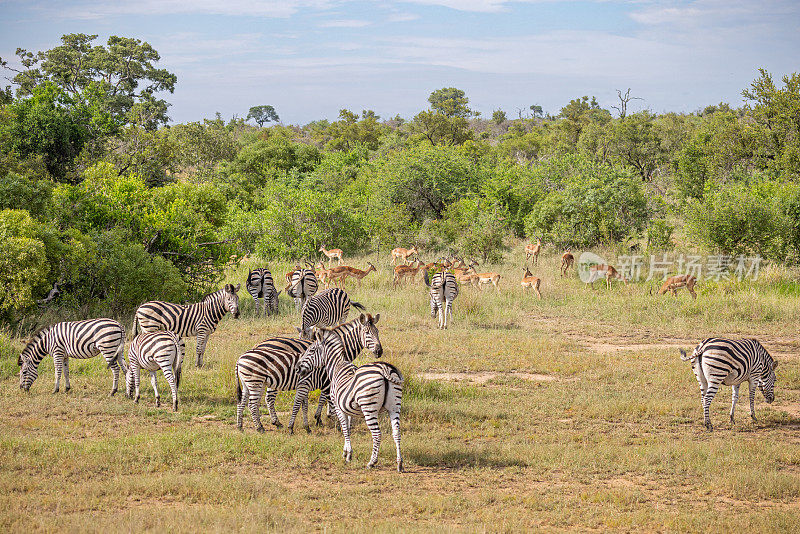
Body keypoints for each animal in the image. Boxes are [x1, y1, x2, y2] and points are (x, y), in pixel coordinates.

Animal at [234, 314, 384, 436]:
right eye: (367, 333)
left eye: (377, 332)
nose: (379, 351)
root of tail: (257, 345)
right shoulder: (325, 376)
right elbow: (324, 397)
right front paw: (322, 417)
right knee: (265, 400)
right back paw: (267, 425)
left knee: (248, 400)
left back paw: (245, 425)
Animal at [296, 318, 404, 474]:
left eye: (311, 350)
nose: (297, 368)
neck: (337, 366)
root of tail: (385, 368)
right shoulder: (348, 409)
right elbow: (348, 427)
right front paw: (346, 452)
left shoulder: (338, 406)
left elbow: (345, 429)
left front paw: (348, 456)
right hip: (394, 407)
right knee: (397, 433)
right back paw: (400, 464)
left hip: (369, 408)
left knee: (377, 434)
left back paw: (372, 462)